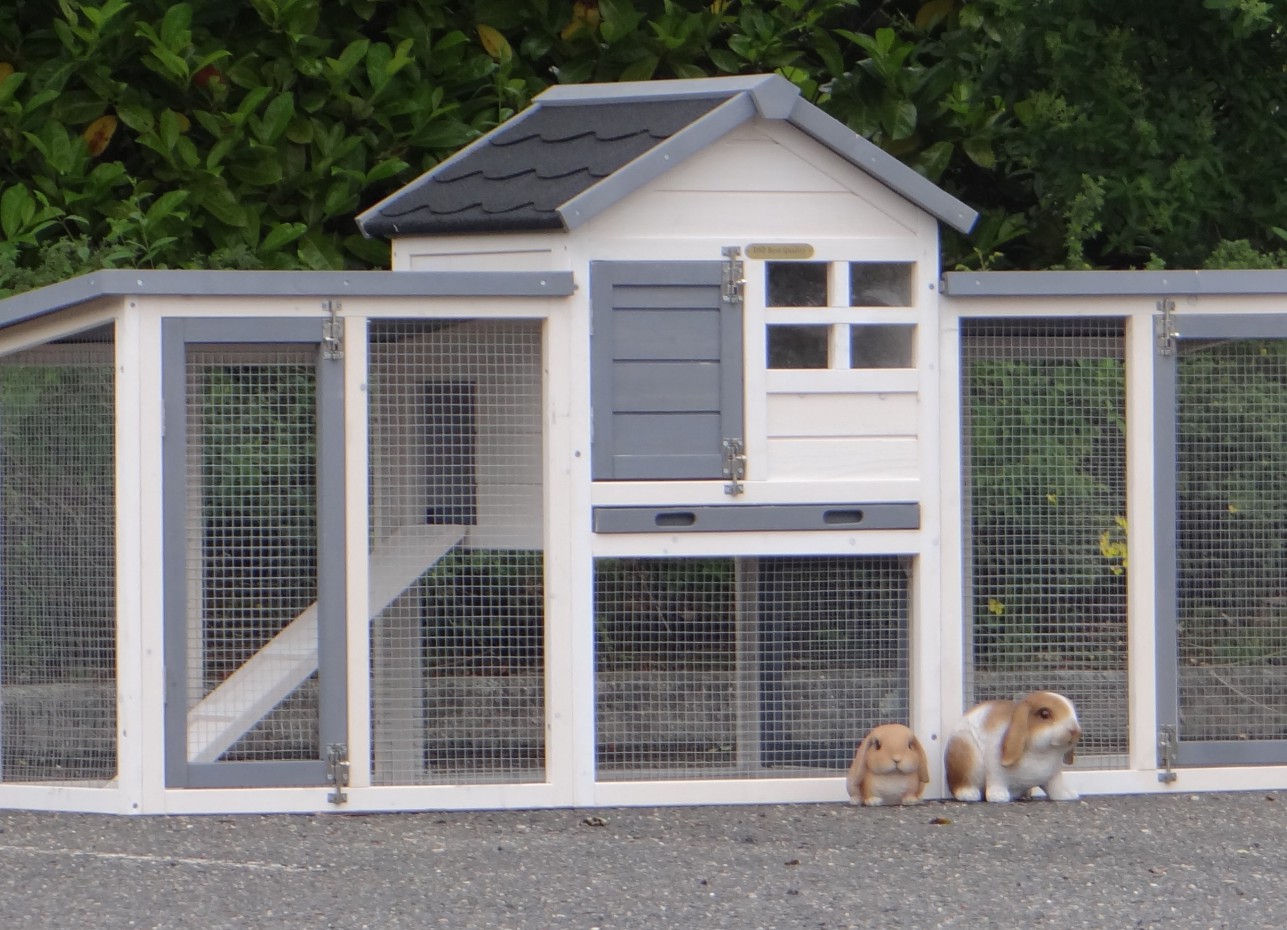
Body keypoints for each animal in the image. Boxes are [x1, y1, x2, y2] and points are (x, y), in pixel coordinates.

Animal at [944, 691, 1082, 803]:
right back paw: (969, 794)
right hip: (965, 756)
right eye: (1044, 714)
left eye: (1073, 711)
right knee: (960, 784)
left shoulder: (1053, 776)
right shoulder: (994, 767)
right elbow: (996, 779)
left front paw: (1067, 795)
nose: (1075, 730)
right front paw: (998, 796)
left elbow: (1056, 788)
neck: (1041, 754)